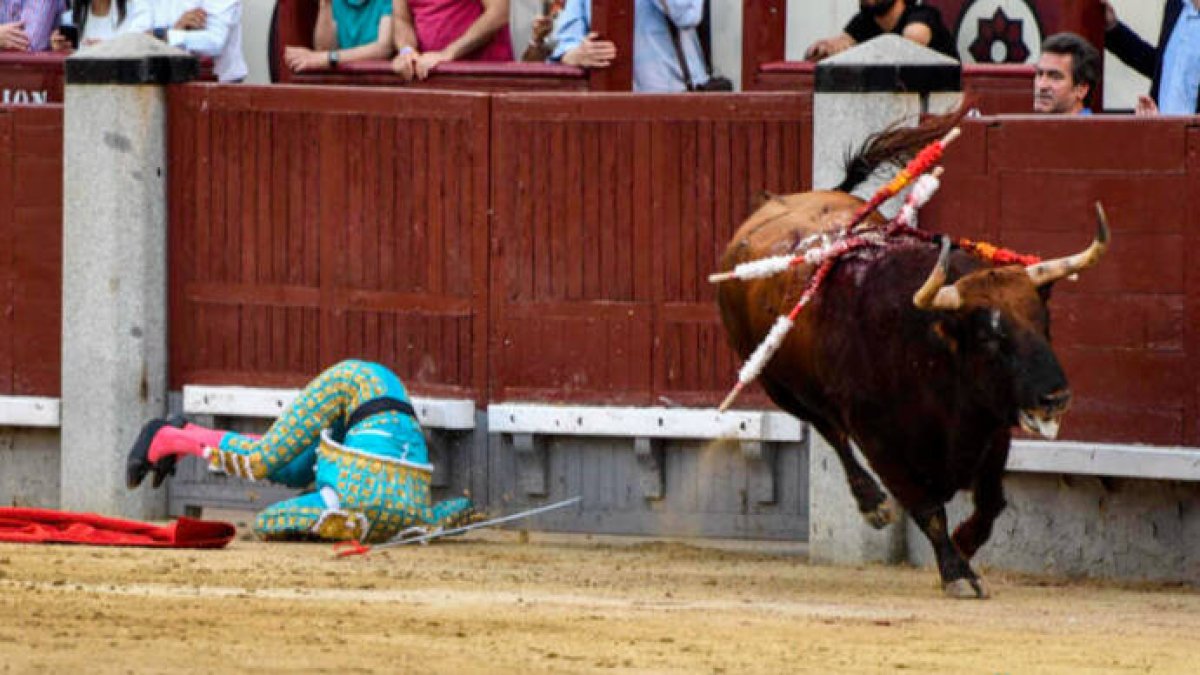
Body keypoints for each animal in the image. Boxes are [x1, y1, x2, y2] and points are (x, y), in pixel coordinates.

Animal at [715, 115, 1108, 598]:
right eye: (990, 338)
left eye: (1044, 323)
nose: (1055, 397)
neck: (927, 353)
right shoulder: (879, 440)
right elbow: (927, 509)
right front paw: (957, 572)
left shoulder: (992, 425)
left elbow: (991, 502)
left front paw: (965, 545)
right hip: (779, 387)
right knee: (829, 430)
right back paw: (872, 504)